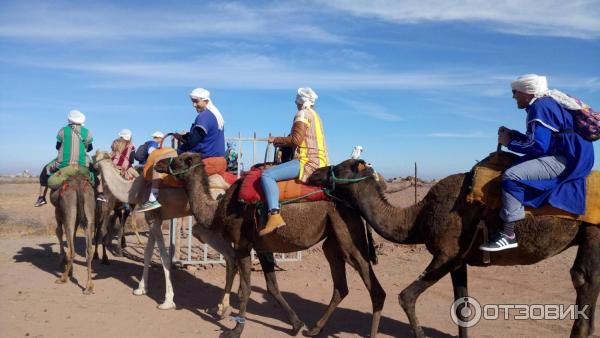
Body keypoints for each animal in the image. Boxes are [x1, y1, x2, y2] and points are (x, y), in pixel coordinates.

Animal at [92, 151, 236, 314]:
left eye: (95, 157)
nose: (92, 166)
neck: (134, 190)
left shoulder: (153, 219)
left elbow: (164, 258)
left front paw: (168, 301)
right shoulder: (154, 218)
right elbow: (148, 253)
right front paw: (141, 288)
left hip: (209, 225)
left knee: (230, 256)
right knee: (231, 257)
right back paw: (221, 307)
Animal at [157, 152, 386, 338]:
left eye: (178, 159)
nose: (159, 163)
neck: (219, 209)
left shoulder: (242, 245)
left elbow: (246, 288)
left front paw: (235, 330)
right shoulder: (262, 247)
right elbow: (272, 287)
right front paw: (296, 324)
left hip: (347, 234)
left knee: (373, 286)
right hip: (333, 241)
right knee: (341, 286)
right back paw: (314, 329)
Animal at [308, 158, 596, 338]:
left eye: (342, 166)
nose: (314, 173)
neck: (417, 218)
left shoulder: (447, 253)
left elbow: (406, 297)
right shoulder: (459, 261)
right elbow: (462, 308)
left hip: (594, 229)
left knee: (584, 278)